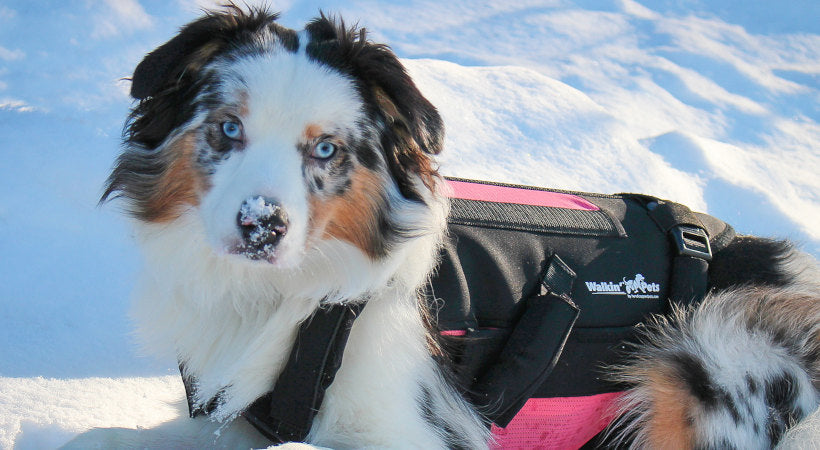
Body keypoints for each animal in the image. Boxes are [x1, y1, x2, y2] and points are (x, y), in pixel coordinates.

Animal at [65, 4, 820, 450]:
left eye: (326, 149)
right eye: (227, 129)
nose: (261, 226)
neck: (294, 299)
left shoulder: (410, 431)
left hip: (713, 344)